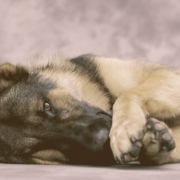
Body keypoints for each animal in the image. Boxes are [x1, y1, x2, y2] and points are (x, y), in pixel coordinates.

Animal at [0, 54, 179, 165]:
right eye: (40, 148)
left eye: (47, 106)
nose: (104, 138)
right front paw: (154, 145)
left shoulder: (168, 75)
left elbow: (127, 95)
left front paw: (124, 129)